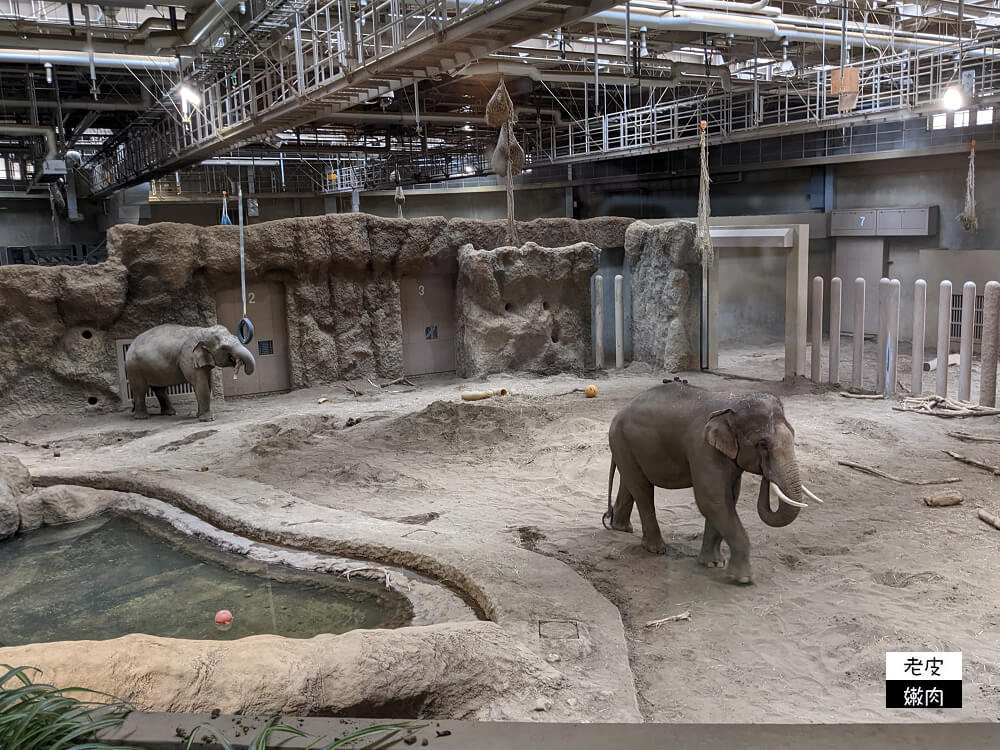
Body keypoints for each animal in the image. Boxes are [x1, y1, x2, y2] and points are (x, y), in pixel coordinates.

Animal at [123, 324, 256, 424]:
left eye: (237, 338)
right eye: (224, 347)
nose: (241, 365)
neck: (203, 331)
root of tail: (131, 345)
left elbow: (206, 383)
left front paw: (199, 416)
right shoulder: (188, 357)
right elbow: (200, 384)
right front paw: (208, 420)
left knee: (159, 389)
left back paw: (170, 413)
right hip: (134, 367)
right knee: (140, 389)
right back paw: (142, 417)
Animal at [600, 382, 820, 588]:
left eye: (793, 434)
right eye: (762, 444)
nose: (767, 476)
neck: (732, 404)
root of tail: (621, 411)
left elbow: (728, 498)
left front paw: (713, 564)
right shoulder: (703, 449)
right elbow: (712, 500)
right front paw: (742, 579)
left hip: (626, 446)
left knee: (630, 483)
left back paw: (622, 529)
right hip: (621, 441)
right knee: (642, 490)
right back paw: (656, 549)